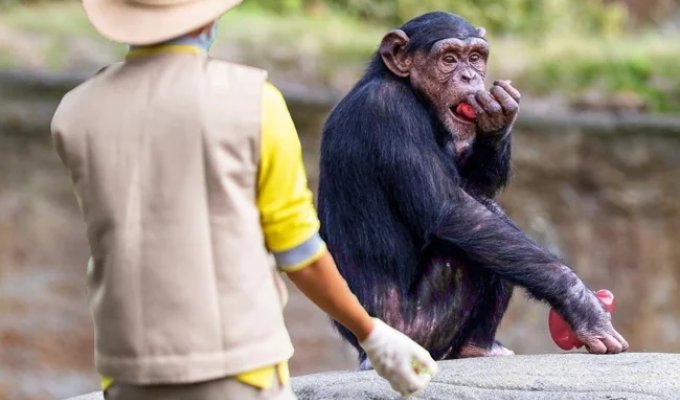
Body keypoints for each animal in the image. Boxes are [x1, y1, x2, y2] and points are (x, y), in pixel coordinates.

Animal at [316, 11, 628, 366]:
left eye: (475, 58)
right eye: (449, 59)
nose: (468, 76)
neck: (410, 91)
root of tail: (362, 352)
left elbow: (474, 187)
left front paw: (498, 117)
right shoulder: (389, 112)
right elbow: (449, 209)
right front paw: (581, 303)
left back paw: (479, 347)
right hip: (417, 331)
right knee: (472, 239)